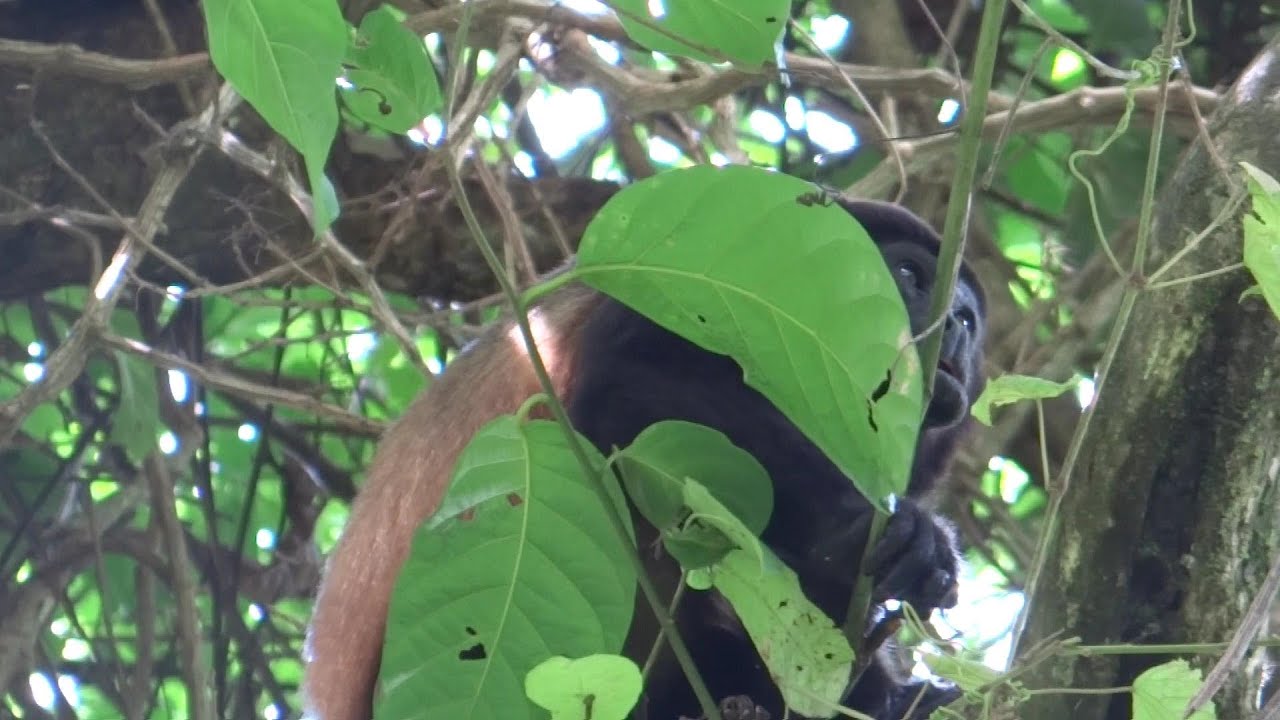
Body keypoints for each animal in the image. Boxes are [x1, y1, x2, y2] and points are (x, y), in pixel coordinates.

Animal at [302, 197, 986, 720]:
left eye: (973, 320)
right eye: (908, 274)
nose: (957, 322)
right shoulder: (720, 257)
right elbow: (630, 387)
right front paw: (859, 539)